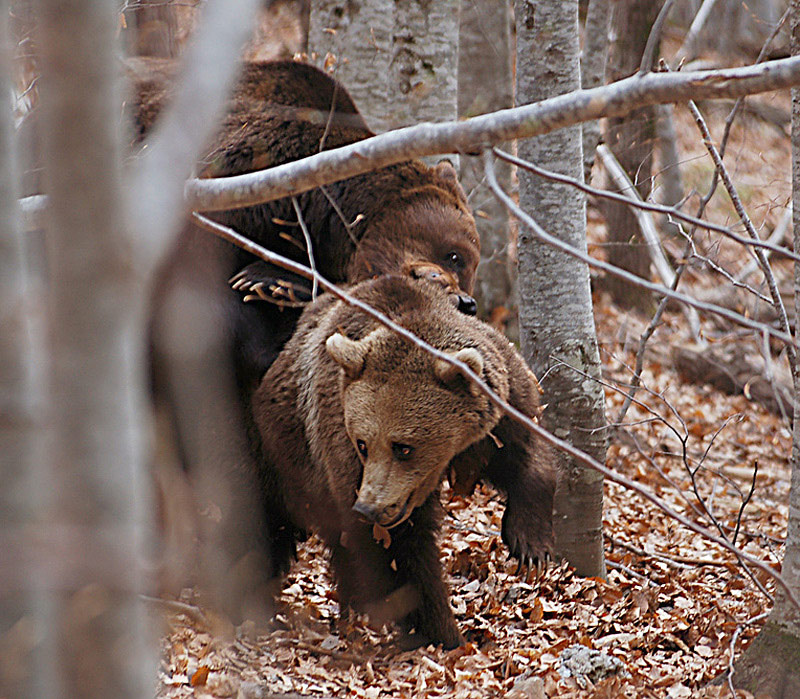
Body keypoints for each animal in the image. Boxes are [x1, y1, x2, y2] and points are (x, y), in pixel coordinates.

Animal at [253, 274, 552, 652]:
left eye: (403, 447)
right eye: (362, 443)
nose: (368, 507)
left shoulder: (501, 412)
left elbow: (528, 455)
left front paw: (530, 547)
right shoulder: (339, 443)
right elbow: (402, 553)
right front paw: (442, 633)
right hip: (283, 451)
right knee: (268, 520)